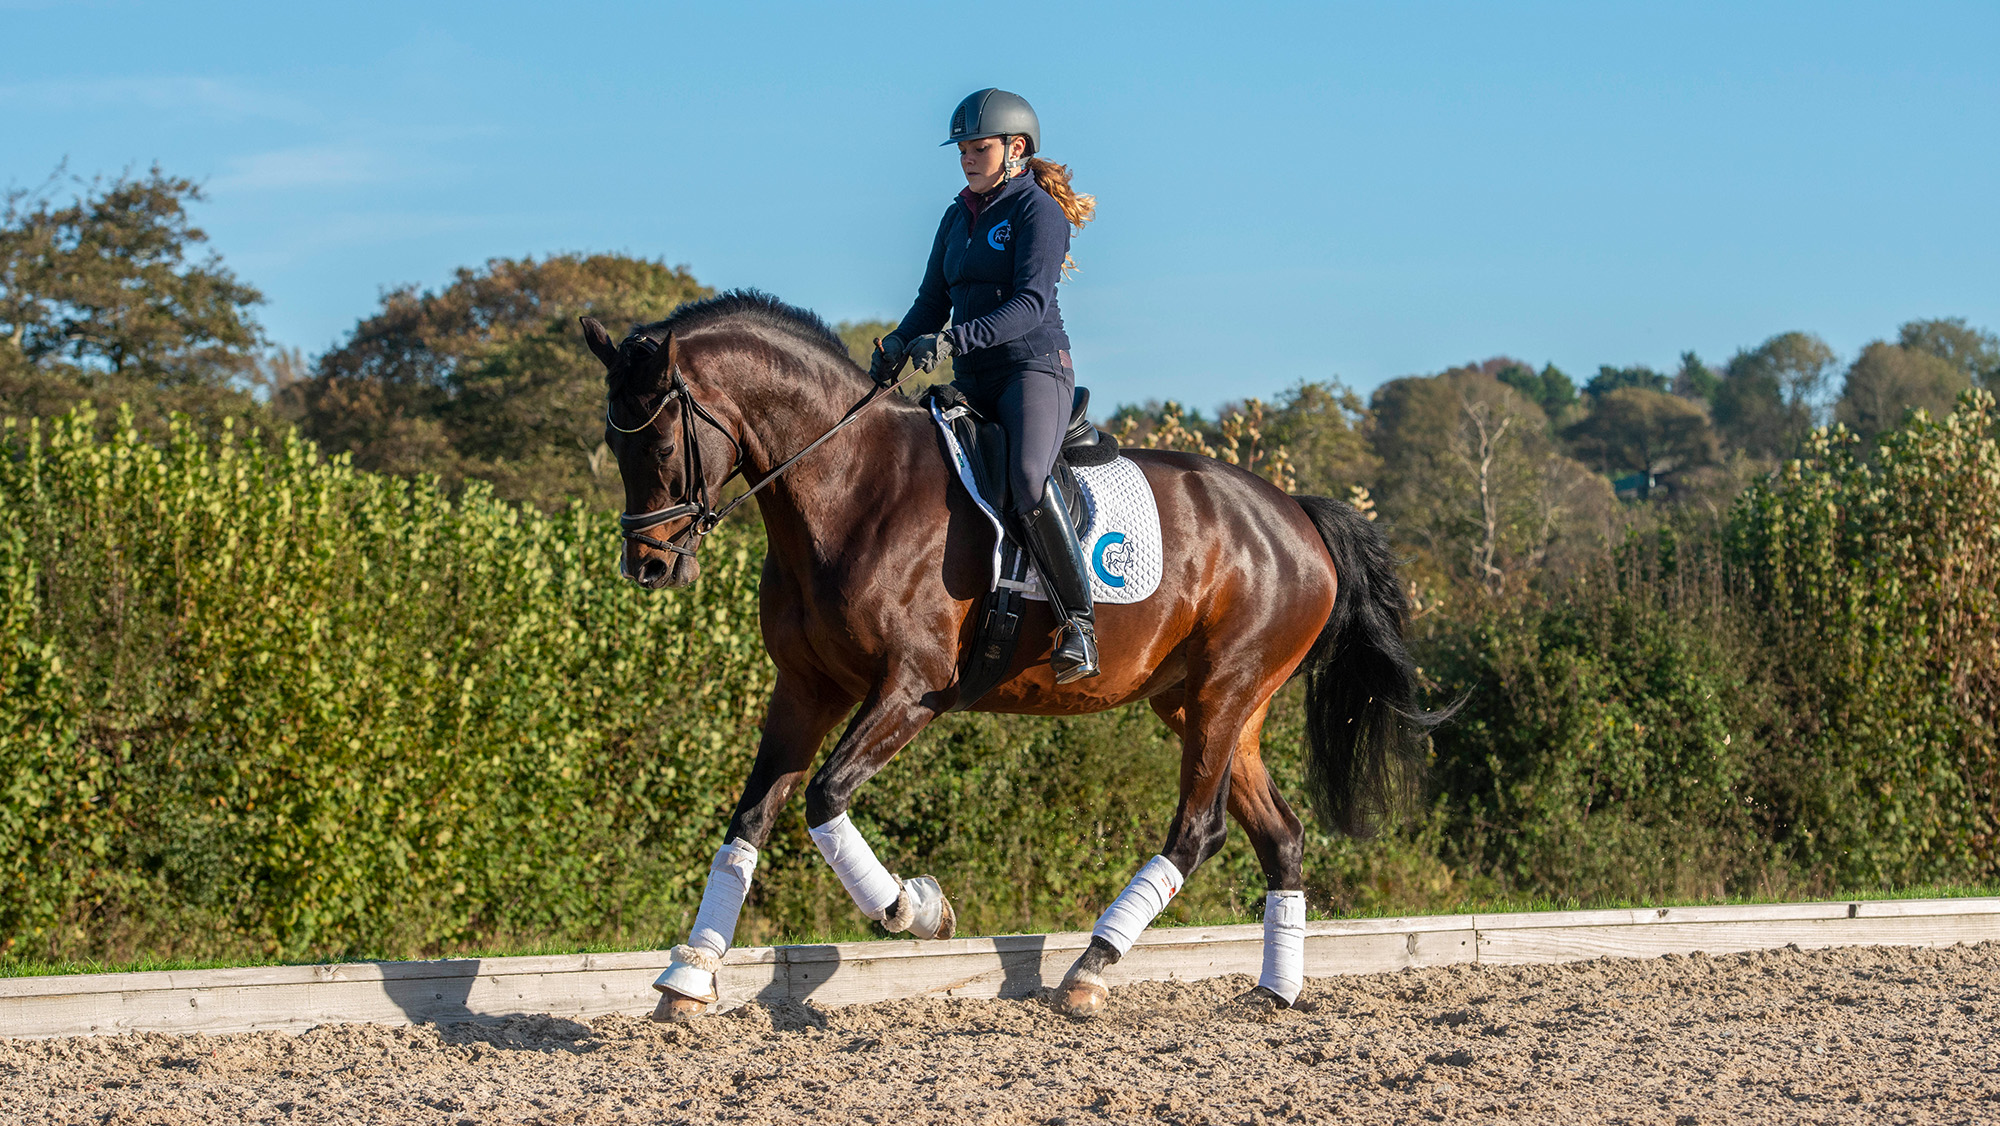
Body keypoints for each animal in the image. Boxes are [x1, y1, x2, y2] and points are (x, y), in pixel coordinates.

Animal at [580, 290, 1439, 1020]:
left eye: (661, 439)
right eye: (614, 442)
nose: (648, 565)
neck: (848, 486)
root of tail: (1294, 512)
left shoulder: (914, 688)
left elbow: (824, 797)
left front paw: (916, 907)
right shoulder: (805, 689)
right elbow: (752, 818)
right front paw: (688, 975)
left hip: (1225, 692)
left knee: (1198, 831)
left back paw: (1090, 969)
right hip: (1209, 703)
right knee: (1280, 836)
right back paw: (1273, 992)